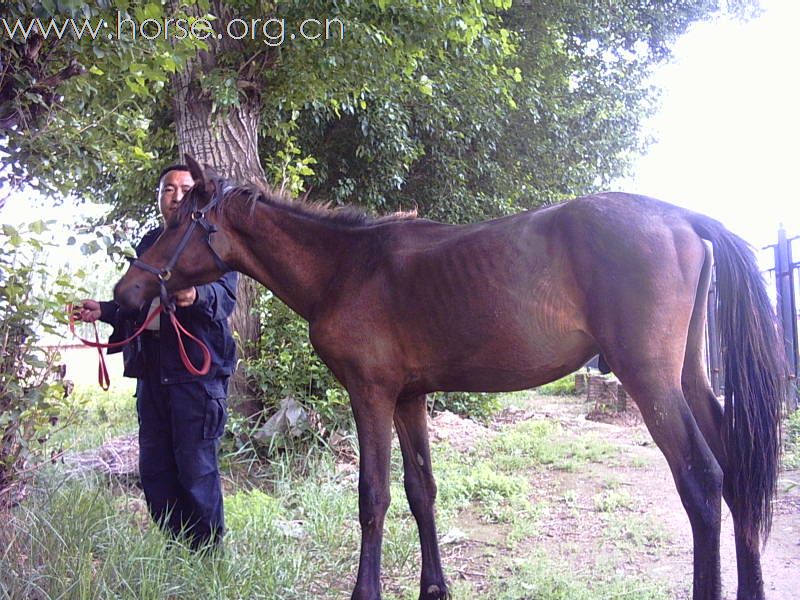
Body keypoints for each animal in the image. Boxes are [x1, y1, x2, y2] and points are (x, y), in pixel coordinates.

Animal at [114, 156, 788, 600]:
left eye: (176, 224)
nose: (126, 295)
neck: (348, 267)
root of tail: (682, 218)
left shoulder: (371, 395)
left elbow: (373, 496)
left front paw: (367, 591)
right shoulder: (410, 399)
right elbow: (422, 491)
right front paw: (433, 588)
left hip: (650, 381)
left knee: (702, 480)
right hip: (689, 378)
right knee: (737, 475)